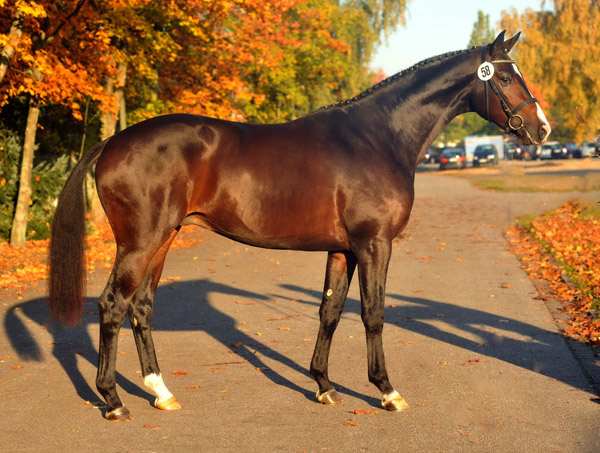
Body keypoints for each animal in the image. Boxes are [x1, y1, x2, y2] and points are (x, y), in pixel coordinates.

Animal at [49, 32, 552, 420]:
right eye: (505, 77)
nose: (542, 129)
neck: (377, 138)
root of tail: (114, 141)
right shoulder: (375, 244)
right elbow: (373, 313)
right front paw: (387, 391)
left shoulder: (343, 250)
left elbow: (330, 311)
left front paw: (324, 386)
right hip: (139, 243)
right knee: (113, 305)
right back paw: (114, 401)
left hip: (162, 240)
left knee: (141, 307)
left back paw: (161, 392)